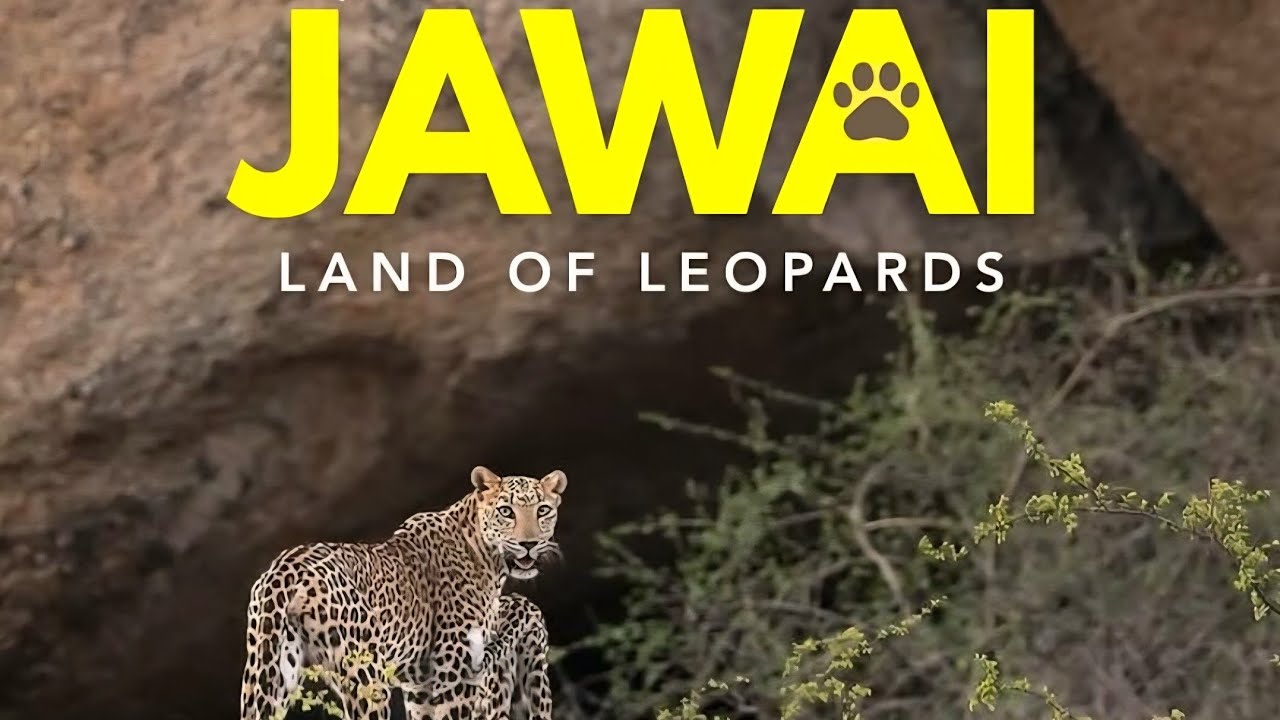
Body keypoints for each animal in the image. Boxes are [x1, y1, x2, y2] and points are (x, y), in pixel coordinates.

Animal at [238, 466, 566, 720]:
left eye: (543, 511)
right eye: (506, 512)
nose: (528, 544)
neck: (485, 556)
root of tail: (286, 567)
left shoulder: (422, 689)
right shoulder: (454, 675)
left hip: (269, 672)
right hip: (366, 674)